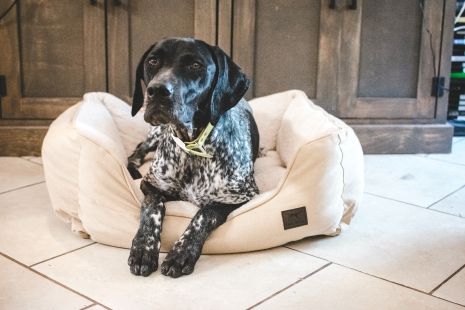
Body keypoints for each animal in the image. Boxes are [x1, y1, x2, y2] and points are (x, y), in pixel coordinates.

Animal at [125, 37, 260, 278]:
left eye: (195, 65)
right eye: (153, 61)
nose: (157, 90)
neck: (192, 149)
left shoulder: (240, 196)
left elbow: (204, 214)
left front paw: (181, 252)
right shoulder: (151, 185)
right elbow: (152, 208)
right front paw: (144, 247)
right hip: (155, 134)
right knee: (135, 153)